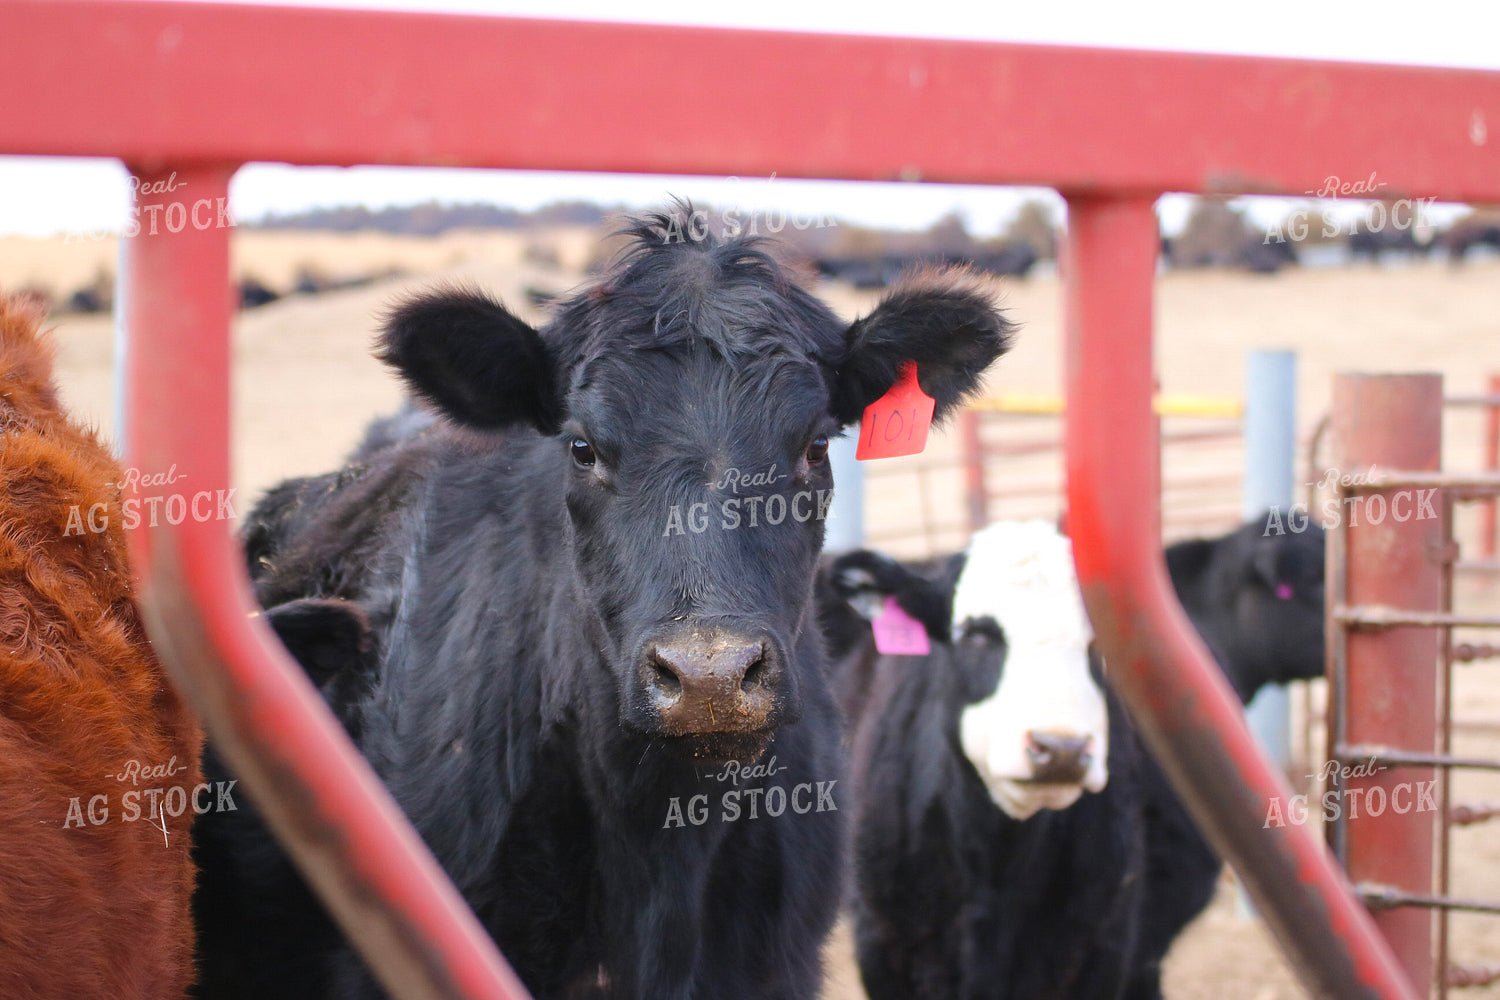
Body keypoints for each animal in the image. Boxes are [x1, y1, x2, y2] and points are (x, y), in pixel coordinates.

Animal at [821, 516, 1326, 1000]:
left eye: (1102, 642)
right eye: (976, 636)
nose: (1059, 749)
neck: (993, 864)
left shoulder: (1102, 945)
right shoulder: (886, 946)